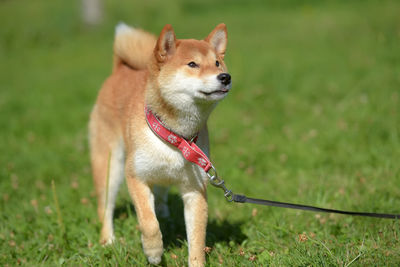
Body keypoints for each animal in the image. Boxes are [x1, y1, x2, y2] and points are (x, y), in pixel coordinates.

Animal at [87, 23, 231, 267]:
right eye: (192, 64)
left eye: (217, 63)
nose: (225, 77)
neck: (175, 136)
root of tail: (120, 70)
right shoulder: (135, 176)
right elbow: (148, 222)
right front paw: (154, 251)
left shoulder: (195, 189)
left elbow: (197, 240)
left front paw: (195, 261)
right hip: (109, 167)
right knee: (105, 207)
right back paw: (108, 241)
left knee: (162, 191)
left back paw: (164, 212)